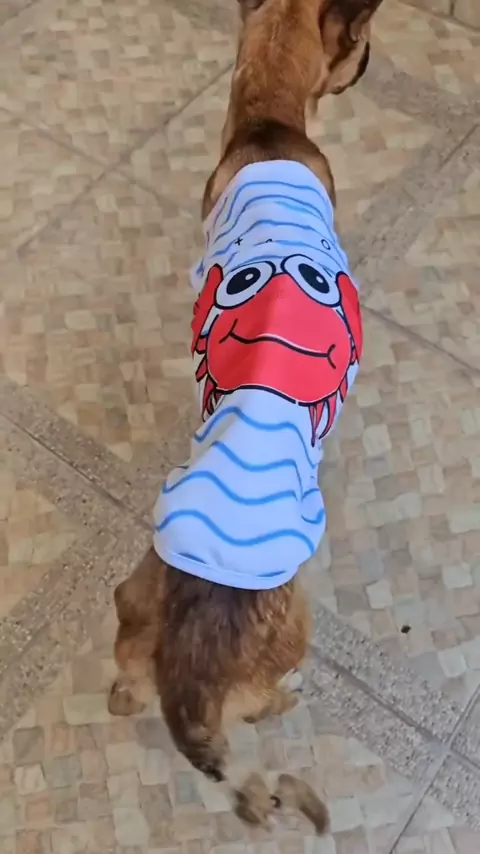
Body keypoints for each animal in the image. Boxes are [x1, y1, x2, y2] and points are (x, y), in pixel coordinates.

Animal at [109, 0, 384, 785]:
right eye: (359, 45)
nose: (371, 61)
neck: (269, 125)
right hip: (288, 636)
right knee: (265, 705)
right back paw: (288, 698)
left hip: (131, 615)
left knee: (122, 688)